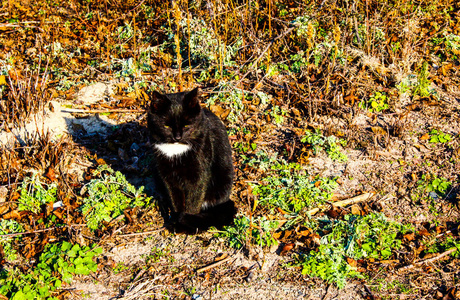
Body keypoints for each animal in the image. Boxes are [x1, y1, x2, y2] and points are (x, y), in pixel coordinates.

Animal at [147, 86, 235, 232]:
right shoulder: (167, 176)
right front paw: (176, 220)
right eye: (167, 126)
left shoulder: (199, 175)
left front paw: (185, 224)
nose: (177, 137)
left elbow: (193, 202)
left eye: (186, 125)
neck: (176, 150)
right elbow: (174, 200)